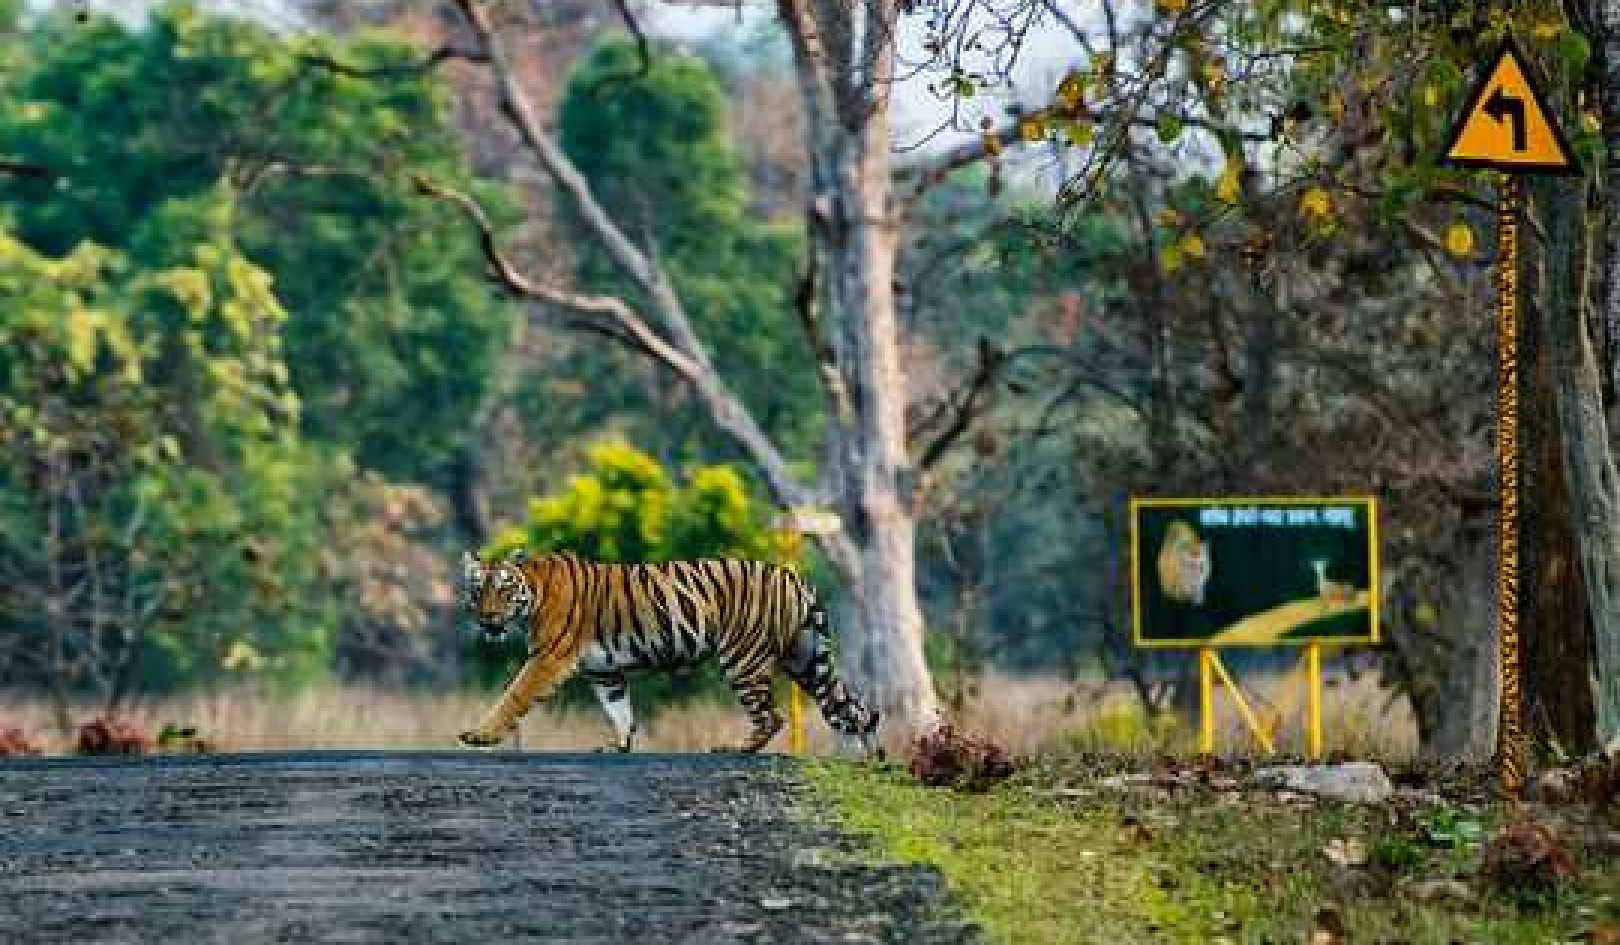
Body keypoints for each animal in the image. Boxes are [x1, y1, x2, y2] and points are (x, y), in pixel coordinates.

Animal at [456, 547, 887, 755]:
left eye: (504, 589)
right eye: (478, 590)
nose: (487, 618)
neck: (534, 593)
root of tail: (794, 577)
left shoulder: (547, 658)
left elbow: (513, 695)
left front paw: (480, 735)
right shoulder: (604, 670)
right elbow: (619, 710)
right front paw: (619, 746)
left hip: (743, 659)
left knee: (772, 717)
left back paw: (733, 748)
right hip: (807, 660)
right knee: (854, 709)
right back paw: (873, 758)